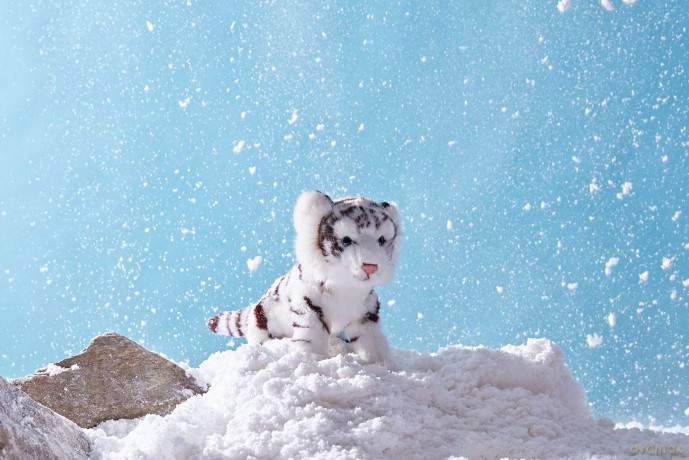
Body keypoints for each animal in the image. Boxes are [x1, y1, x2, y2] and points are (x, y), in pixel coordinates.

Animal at [207, 190, 402, 365]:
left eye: (381, 240)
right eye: (346, 240)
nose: (370, 266)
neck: (346, 286)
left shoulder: (367, 312)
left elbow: (371, 340)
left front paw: (381, 363)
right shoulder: (309, 306)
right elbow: (311, 337)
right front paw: (310, 359)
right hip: (261, 321)